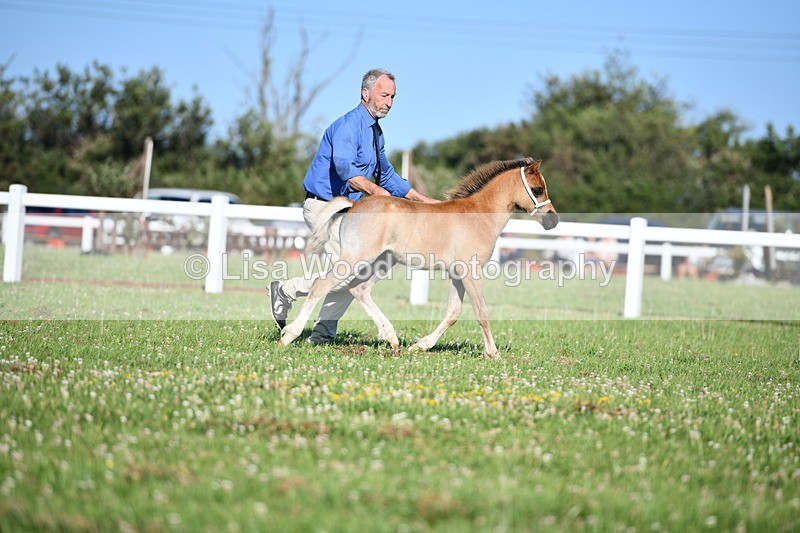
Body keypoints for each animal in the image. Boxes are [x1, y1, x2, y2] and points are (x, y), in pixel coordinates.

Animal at [278, 157, 559, 358]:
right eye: (537, 189)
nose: (553, 220)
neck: (477, 215)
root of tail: (353, 205)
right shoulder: (470, 272)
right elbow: (481, 311)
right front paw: (493, 353)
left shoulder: (457, 274)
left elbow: (453, 313)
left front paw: (421, 346)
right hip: (355, 259)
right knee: (321, 285)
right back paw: (288, 335)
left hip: (381, 263)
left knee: (359, 290)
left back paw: (392, 339)